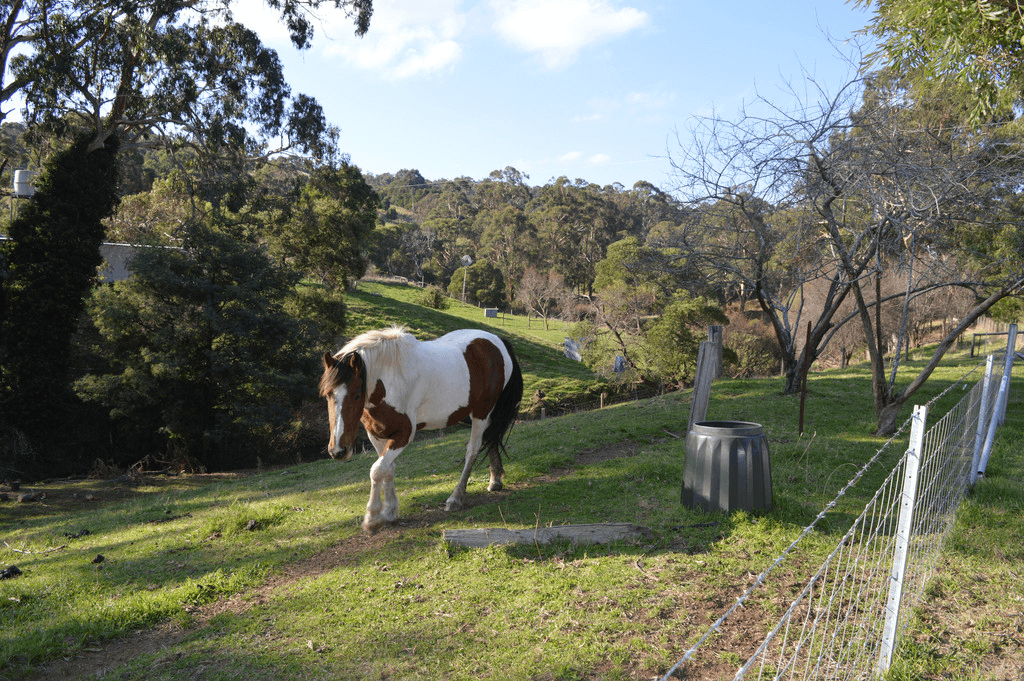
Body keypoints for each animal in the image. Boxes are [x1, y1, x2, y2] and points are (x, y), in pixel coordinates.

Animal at [319, 323, 524, 532]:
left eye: (355, 395)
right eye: (327, 394)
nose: (338, 451)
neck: (391, 378)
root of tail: (497, 340)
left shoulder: (404, 435)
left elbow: (377, 470)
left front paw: (372, 518)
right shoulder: (376, 435)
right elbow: (387, 469)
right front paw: (390, 512)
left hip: (482, 413)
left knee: (473, 450)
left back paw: (456, 497)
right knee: (491, 439)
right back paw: (495, 480)